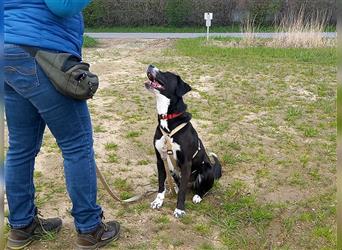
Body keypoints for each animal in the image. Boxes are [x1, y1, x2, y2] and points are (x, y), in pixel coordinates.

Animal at [144, 65, 222, 218]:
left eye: (166, 74)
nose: (150, 65)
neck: (167, 118)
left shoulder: (186, 163)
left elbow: (182, 193)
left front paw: (179, 209)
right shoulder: (160, 159)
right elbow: (161, 184)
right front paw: (158, 201)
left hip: (206, 170)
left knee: (204, 188)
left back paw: (198, 196)